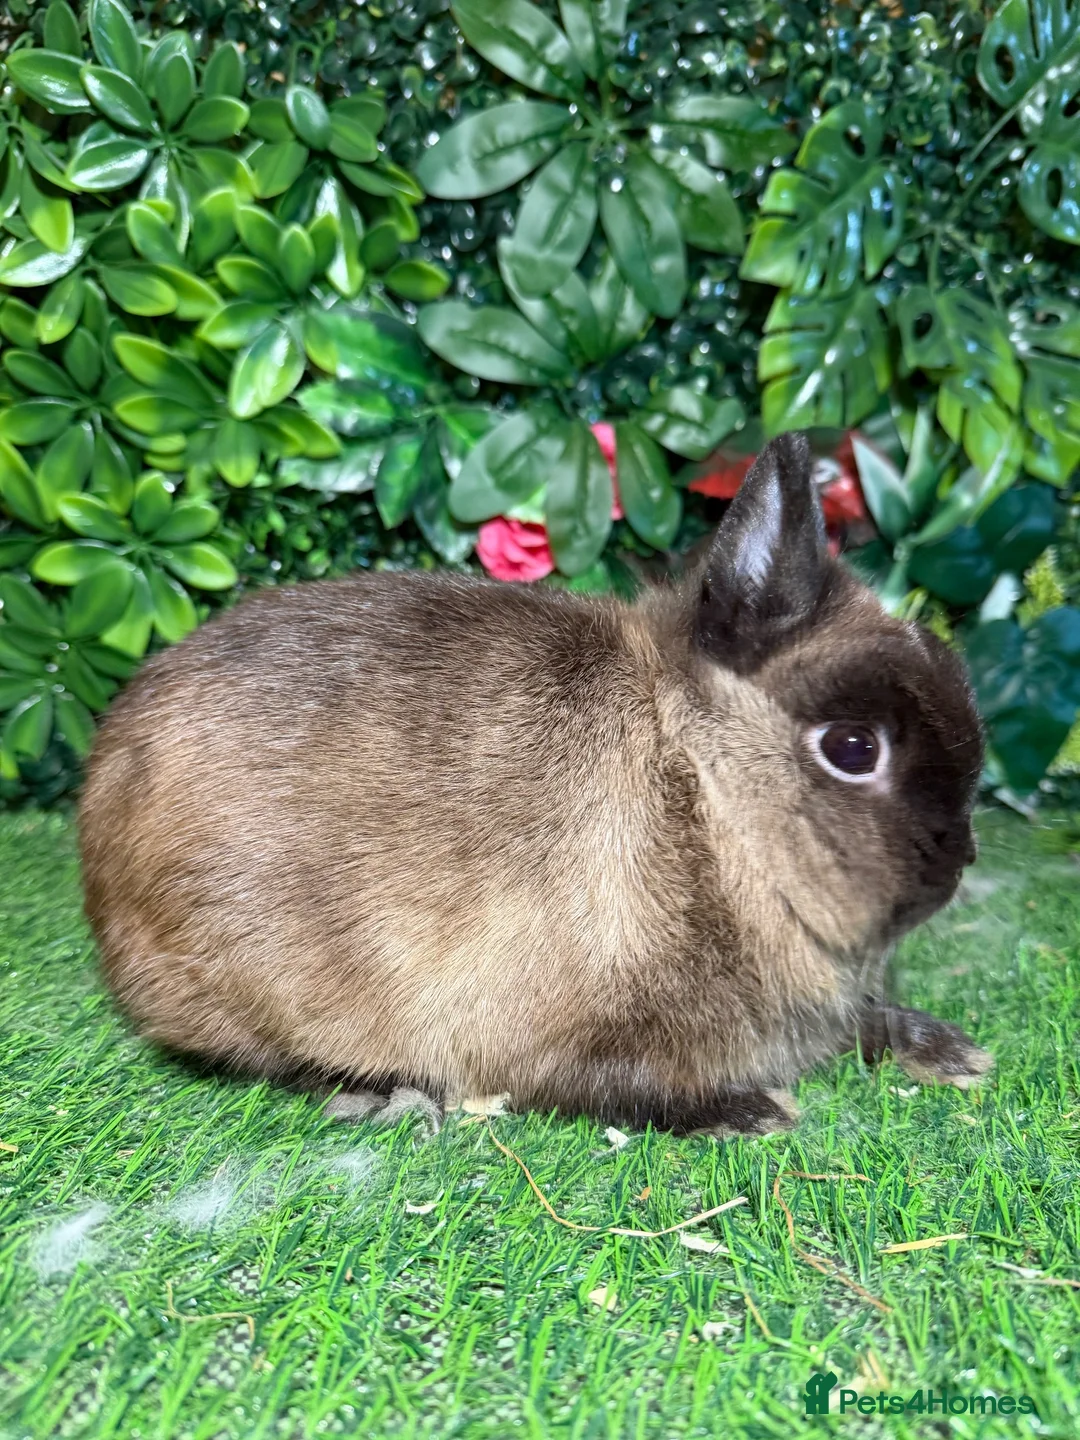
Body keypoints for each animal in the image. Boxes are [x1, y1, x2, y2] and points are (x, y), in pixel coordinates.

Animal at [80, 431, 991, 1137]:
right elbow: (610, 1087)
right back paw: (384, 1095)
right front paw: (746, 1112)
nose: (955, 867)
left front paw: (951, 1051)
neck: (702, 799)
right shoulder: (563, 1032)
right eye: (851, 748)